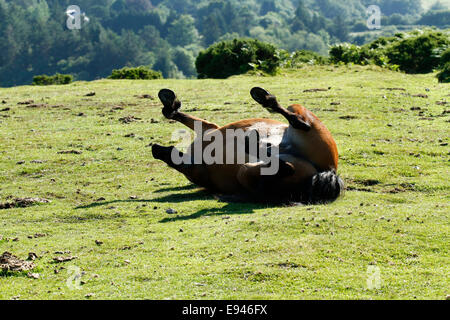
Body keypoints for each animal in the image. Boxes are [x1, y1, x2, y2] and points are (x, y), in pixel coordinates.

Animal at [152, 86, 344, 204]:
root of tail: (326, 170)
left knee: (300, 123)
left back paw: (263, 101)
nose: (154, 147)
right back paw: (256, 142)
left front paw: (170, 104)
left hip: (301, 116)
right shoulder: (208, 131)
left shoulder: (207, 135)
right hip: (247, 170)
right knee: (281, 169)